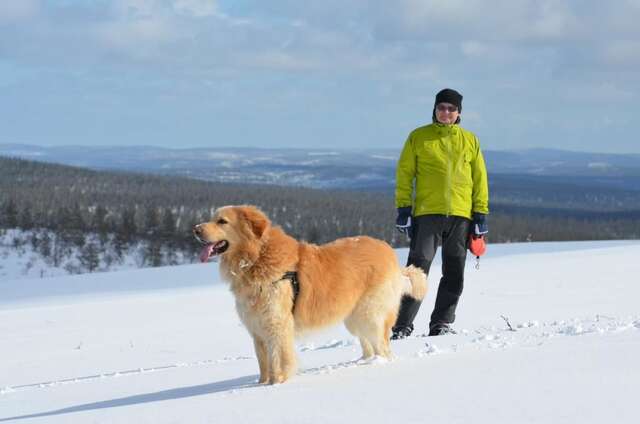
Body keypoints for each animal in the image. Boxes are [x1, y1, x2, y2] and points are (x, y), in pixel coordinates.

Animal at [192, 205, 428, 384]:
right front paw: (261, 384)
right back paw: (363, 362)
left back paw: (378, 365)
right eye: (212, 218)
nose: (195, 229)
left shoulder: (277, 324)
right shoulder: (257, 329)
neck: (257, 258)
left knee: (383, 347)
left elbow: (279, 359)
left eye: (222, 221)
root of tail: (388, 251)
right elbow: (263, 363)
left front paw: (277, 383)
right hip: (354, 318)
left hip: (369, 315)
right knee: (368, 345)